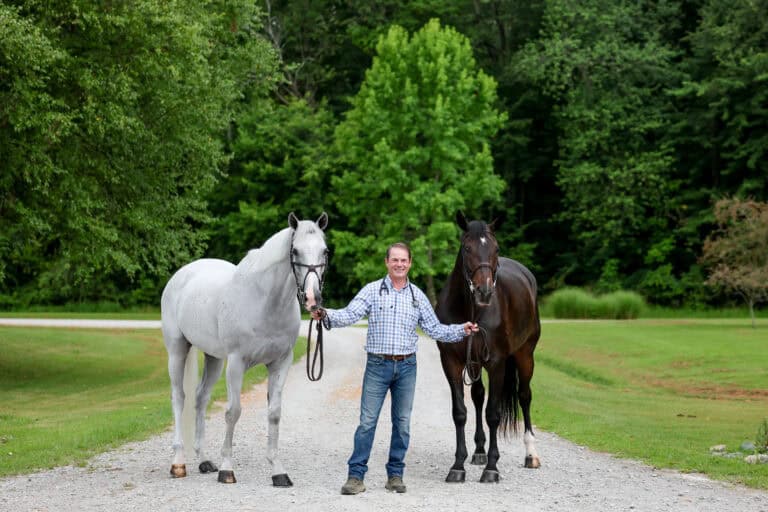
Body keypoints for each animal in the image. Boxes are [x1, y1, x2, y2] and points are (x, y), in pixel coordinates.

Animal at [160, 212, 328, 486]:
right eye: (295, 250)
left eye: (324, 251)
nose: (313, 299)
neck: (265, 301)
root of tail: (183, 274)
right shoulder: (236, 362)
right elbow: (233, 412)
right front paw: (227, 469)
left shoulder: (281, 362)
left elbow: (274, 414)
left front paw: (278, 471)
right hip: (177, 350)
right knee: (179, 398)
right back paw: (178, 463)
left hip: (214, 358)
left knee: (200, 398)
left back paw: (203, 460)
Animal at [435, 211, 541, 483]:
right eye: (466, 248)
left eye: (496, 248)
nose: (484, 291)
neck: (471, 309)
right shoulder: (452, 362)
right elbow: (460, 412)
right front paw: (458, 465)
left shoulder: (496, 363)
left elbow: (493, 414)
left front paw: (492, 468)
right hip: (474, 362)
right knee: (478, 396)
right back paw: (479, 451)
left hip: (525, 355)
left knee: (525, 396)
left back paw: (531, 454)